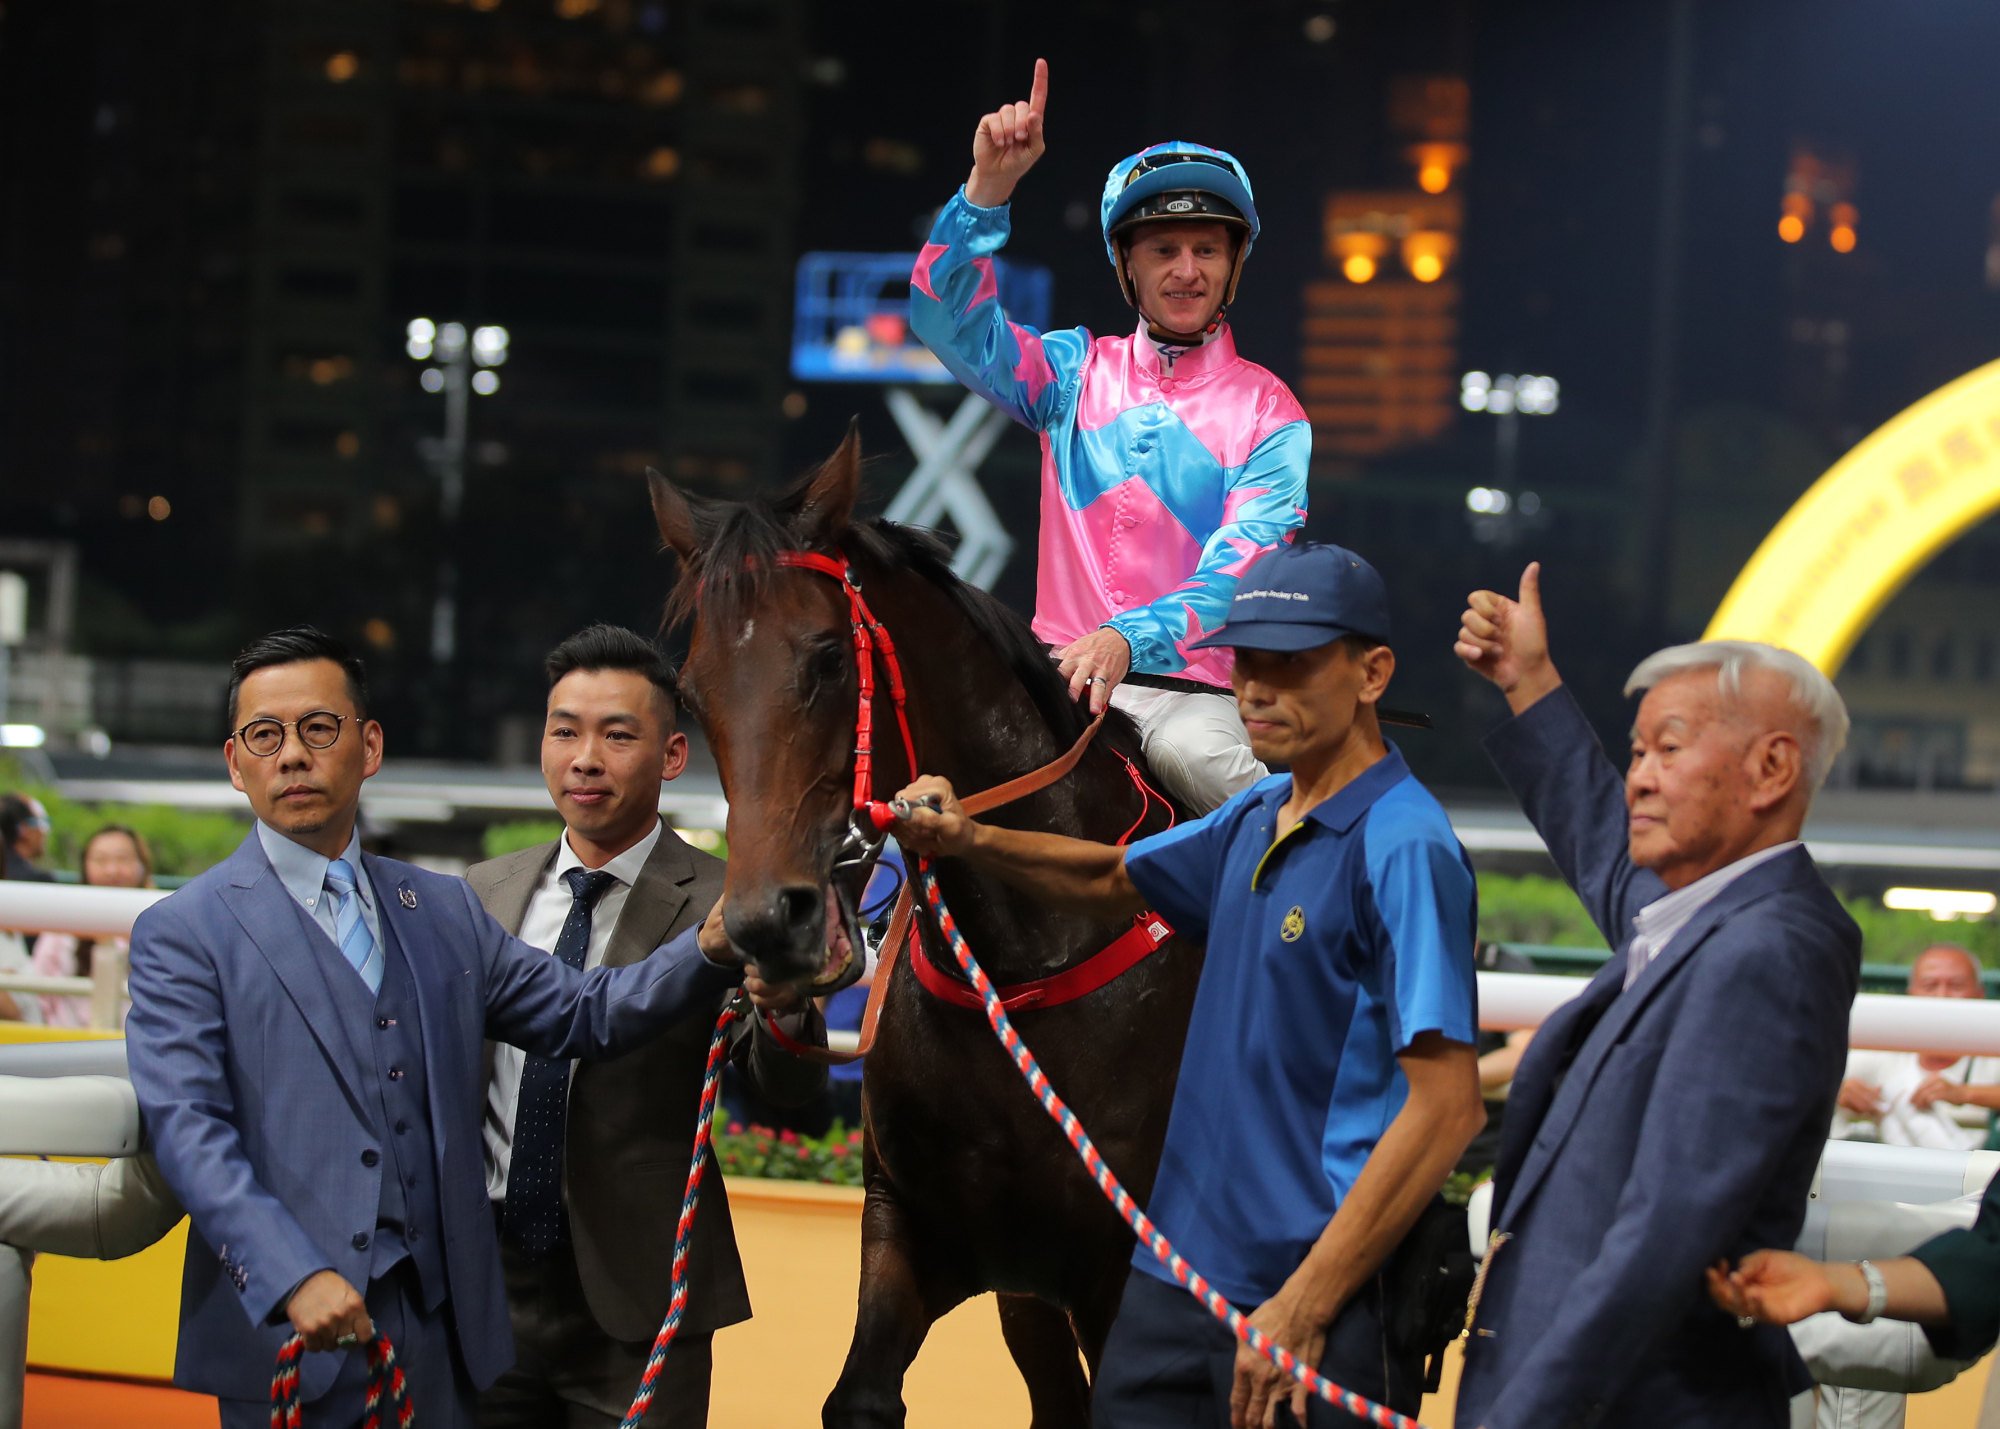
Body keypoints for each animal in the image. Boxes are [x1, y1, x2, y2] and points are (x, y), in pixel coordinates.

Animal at [652, 428, 1200, 1416]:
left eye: (829, 657)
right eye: (691, 687)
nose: (768, 921)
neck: (1027, 963)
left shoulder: (1125, 1271)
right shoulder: (922, 1230)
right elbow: (861, 1393)